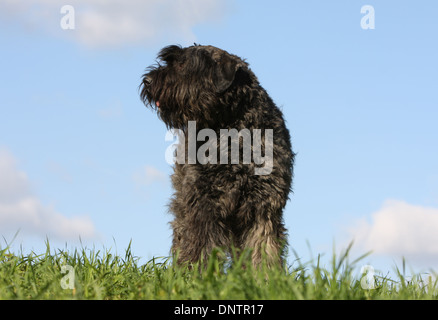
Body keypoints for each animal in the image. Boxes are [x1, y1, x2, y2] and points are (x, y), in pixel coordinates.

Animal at [139, 43, 294, 268]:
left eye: (183, 64)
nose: (148, 80)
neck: (232, 128)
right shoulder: (204, 202)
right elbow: (200, 243)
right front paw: (196, 273)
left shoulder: (263, 204)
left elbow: (263, 246)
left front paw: (265, 275)